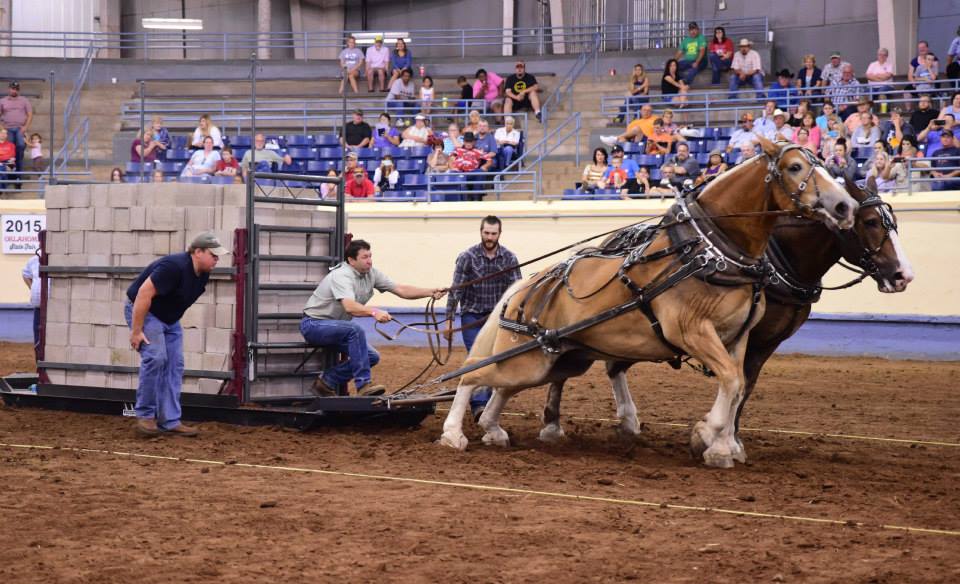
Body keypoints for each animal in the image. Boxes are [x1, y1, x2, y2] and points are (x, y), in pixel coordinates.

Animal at [440, 138, 856, 470]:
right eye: (795, 167)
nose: (844, 206)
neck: (709, 251)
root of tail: (526, 285)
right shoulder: (693, 331)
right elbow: (732, 380)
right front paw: (707, 435)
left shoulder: (738, 339)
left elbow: (737, 384)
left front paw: (721, 446)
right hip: (526, 359)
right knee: (470, 376)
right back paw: (453, 434)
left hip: (555, 361)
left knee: (501, 387)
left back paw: (492, 428)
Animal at [540, 178, 916, 460]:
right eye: (870, 222)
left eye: (894, 223)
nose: (903, 275)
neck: (777, 261)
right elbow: (736, 383)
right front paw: (717, 439)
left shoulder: (763, 343)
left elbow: (745, 386)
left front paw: (725, 438)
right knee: (563, 356)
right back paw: (552, 424)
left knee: (612, 364)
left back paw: (628, 423)